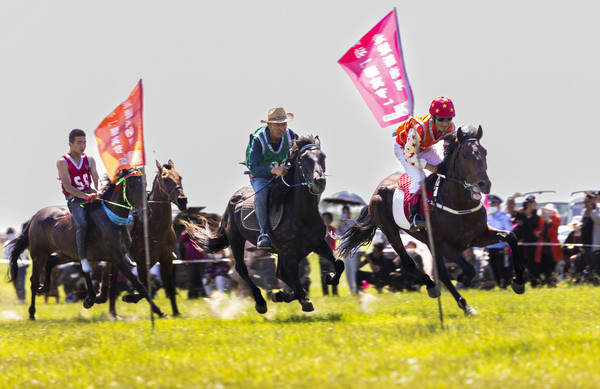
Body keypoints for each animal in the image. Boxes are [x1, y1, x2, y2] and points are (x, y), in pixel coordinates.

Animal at [7, 168, 166, 320]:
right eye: (132, 185)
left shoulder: (115, 258)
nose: (147, 213)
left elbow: (116, 283)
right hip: (39, 255)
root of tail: (35, 217)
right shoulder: (116, 258)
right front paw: (158, 311)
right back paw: (32, 312)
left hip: (66, 254)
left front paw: (105, 298)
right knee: (34, 280)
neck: (111, 219)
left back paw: (45, 288)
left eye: (144, 184)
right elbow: (138, 284)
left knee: (51, 262)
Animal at [96, 159, 188, 316]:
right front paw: (129, 297)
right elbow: (144, 287)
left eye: (180, 177)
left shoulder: (166, 259)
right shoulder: (141, 262)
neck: (156, 229)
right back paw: (108, 305)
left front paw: (176, 312)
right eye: (165, 178)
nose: (182, 200)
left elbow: (169, 287)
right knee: (111, 278)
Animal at [188, 136, 346, 312]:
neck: (302, 215)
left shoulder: (317, 244)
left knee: (279, 273)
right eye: (304, 159)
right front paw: (296, 298)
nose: (319, 182)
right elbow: (297, 286)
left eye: (323, 156)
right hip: (236, 240)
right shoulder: (289, 255)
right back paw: (260, 302)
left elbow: (339, 263)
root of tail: (233, 200)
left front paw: (330, 278)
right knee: (242, 269)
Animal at [340, 126, 528, 314]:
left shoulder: (477, 236)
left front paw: (518, 281)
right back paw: (436, 289)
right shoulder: (443, 243)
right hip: (391, 231)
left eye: (484, 152)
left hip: (426, 241)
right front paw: (463, 278)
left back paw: (462, 303)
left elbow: (511, 236)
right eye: (464, 155)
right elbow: (468, 268)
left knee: (439, 273)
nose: (484, 184)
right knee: (409, 263)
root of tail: (377, 190)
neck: (459, 203)